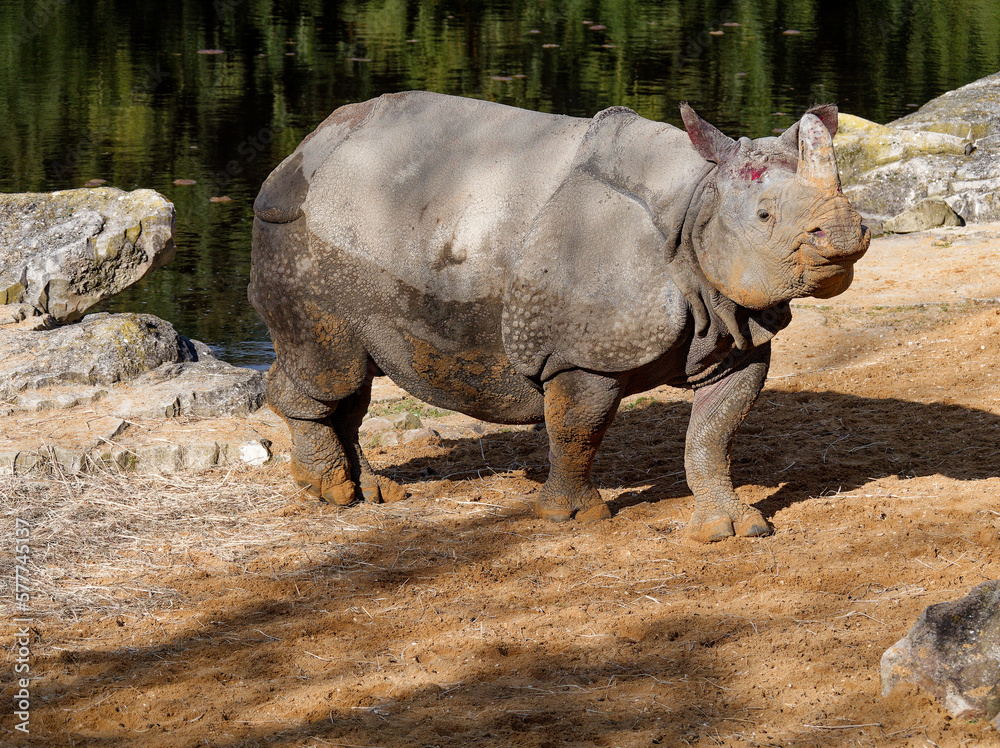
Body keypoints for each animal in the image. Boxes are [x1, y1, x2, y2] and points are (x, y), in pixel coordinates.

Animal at [249, 91, 869, 542]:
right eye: (765, 216)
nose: (847, 233)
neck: (699, 201)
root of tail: (300, 150)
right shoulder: (580, 353)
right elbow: (579, 427)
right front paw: (574, 518)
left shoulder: (735, 326)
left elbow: (716, 431)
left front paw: (731, 528)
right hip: (300, 228)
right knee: (333, 368)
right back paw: (332, 492)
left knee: (353, 378)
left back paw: (368, 494)